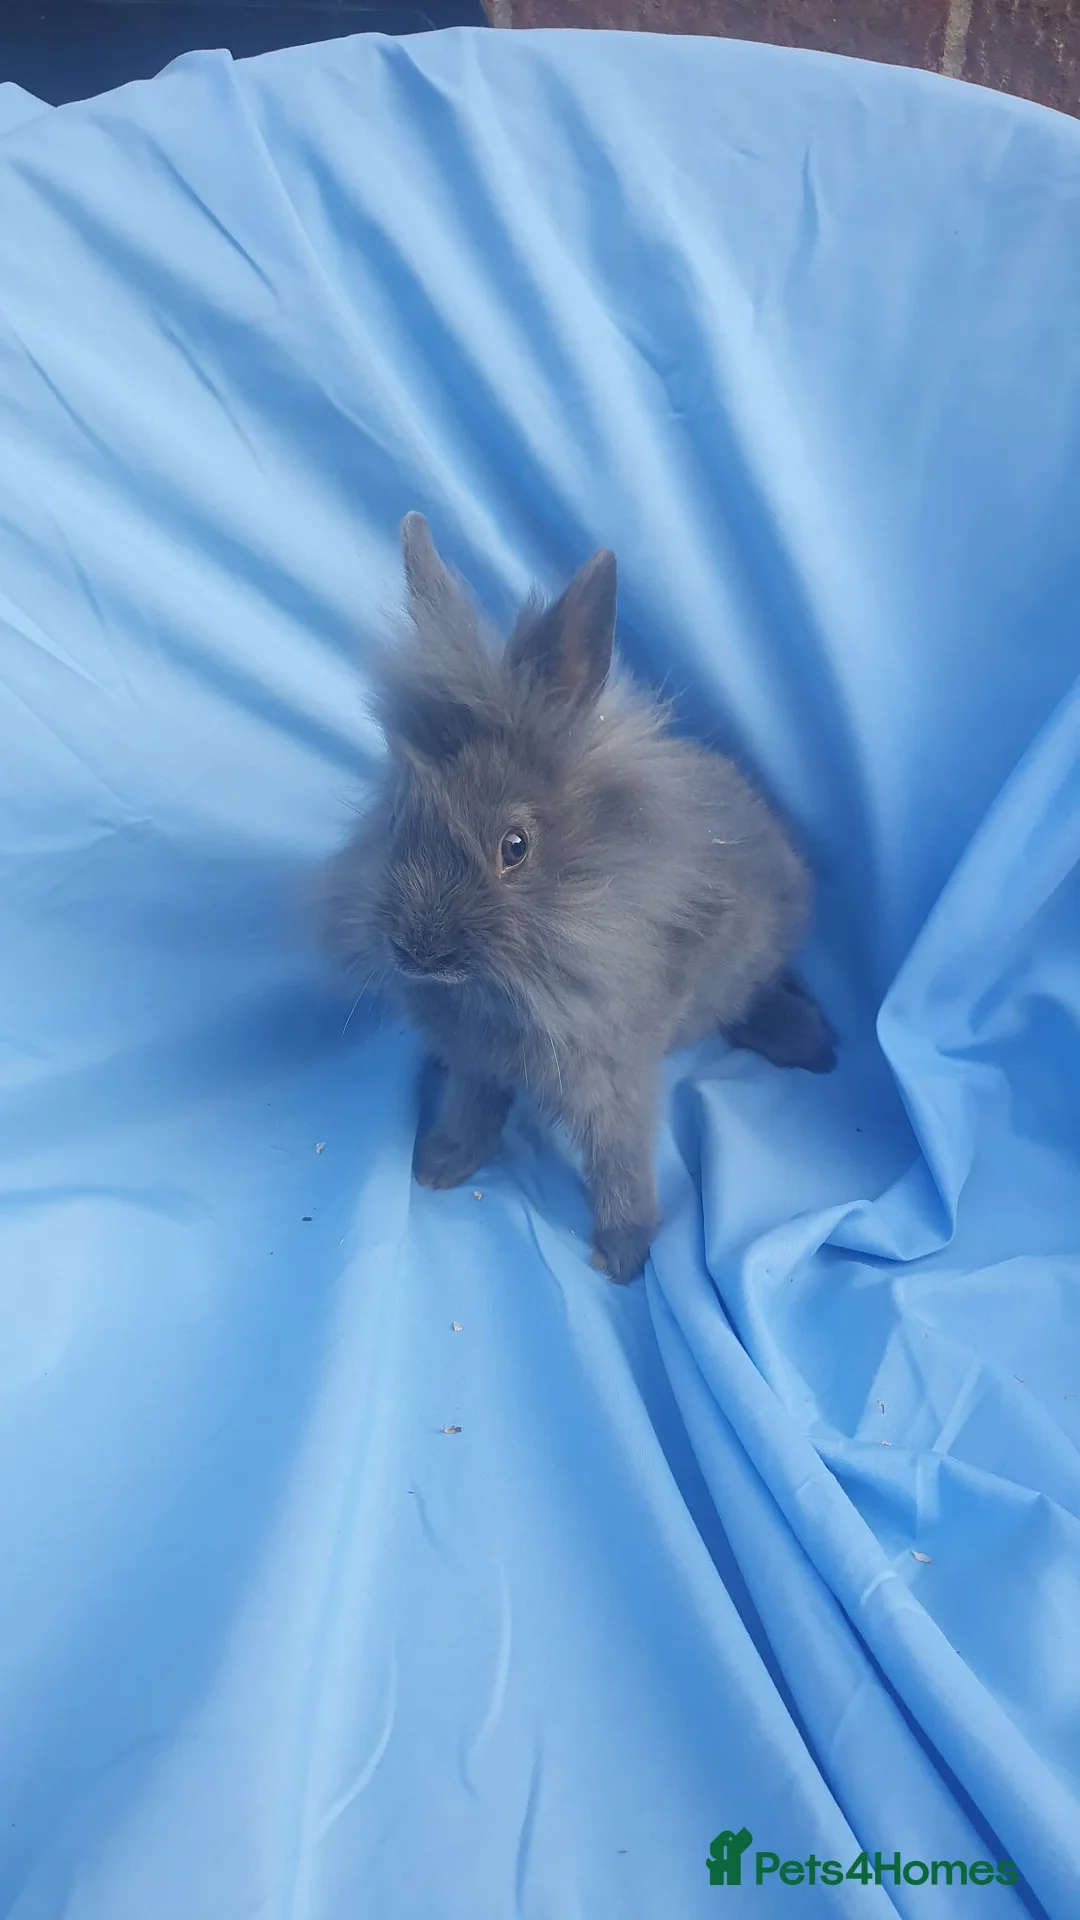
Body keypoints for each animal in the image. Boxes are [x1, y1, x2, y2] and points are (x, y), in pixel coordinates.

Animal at [324, 513, 834, 1282]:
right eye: (394, 821)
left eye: (514, 846)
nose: (418, 951)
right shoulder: (478, 1062)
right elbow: (471, 1107)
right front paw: (439, 1166)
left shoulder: (612, 1076)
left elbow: (620, 1158)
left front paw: (622, 1254)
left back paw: (810, 1044)